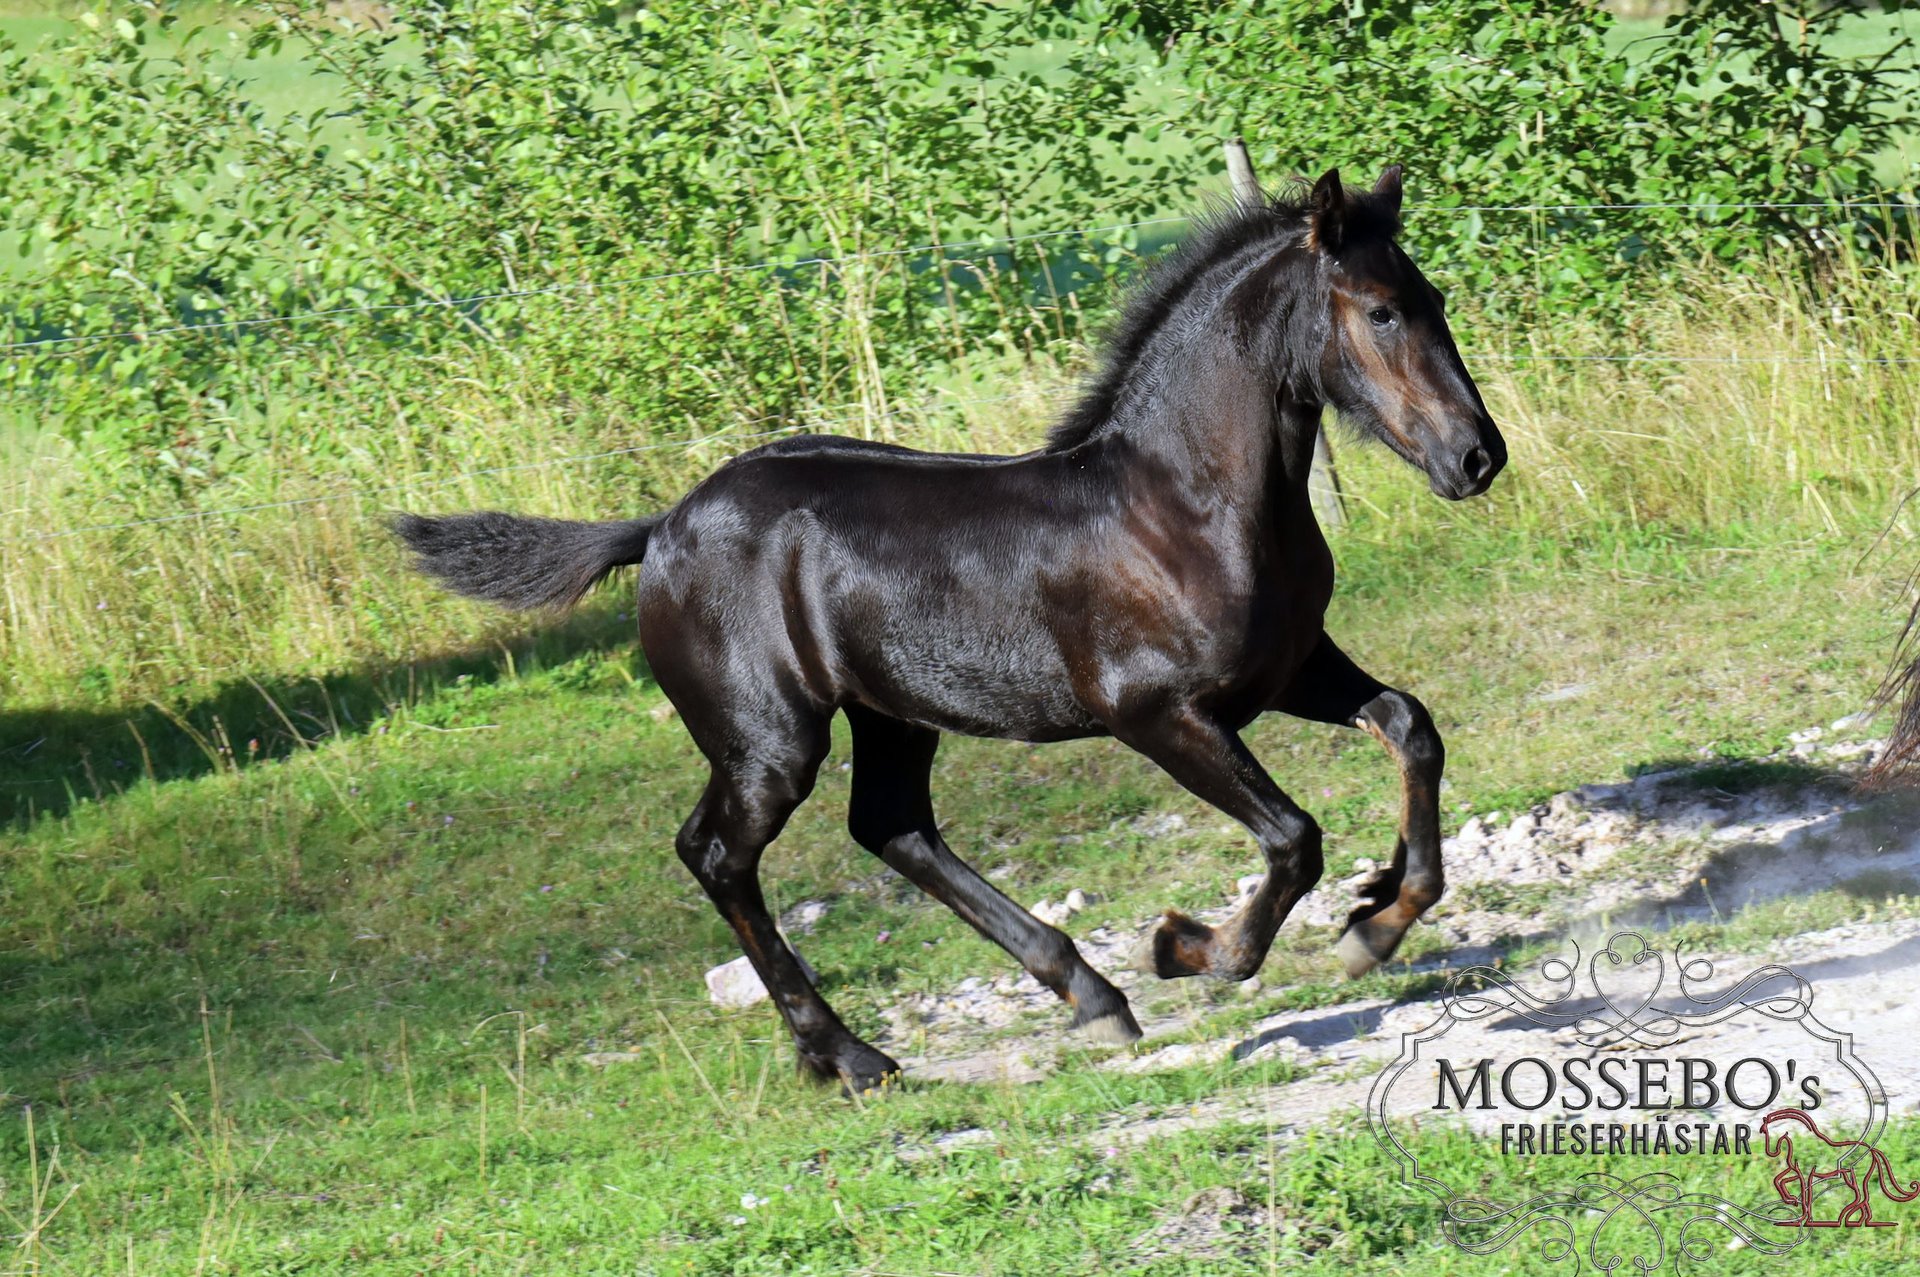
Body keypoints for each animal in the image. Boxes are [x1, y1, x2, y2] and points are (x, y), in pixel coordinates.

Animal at [393, 167, 1497, 1083]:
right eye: (1381, 312)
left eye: (1434, 301)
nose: (1478, 458)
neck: (1181, 505)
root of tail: (660, 526)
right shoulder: (1156, 713)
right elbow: (1293, 835)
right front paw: (1197, 946)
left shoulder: (1292, 668)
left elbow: (1411, 726)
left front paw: (1379, 915)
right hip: (769, 741)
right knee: (717, 853)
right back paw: (852, 1056)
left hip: (891, 715)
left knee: (890, 825)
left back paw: (1087, 995)